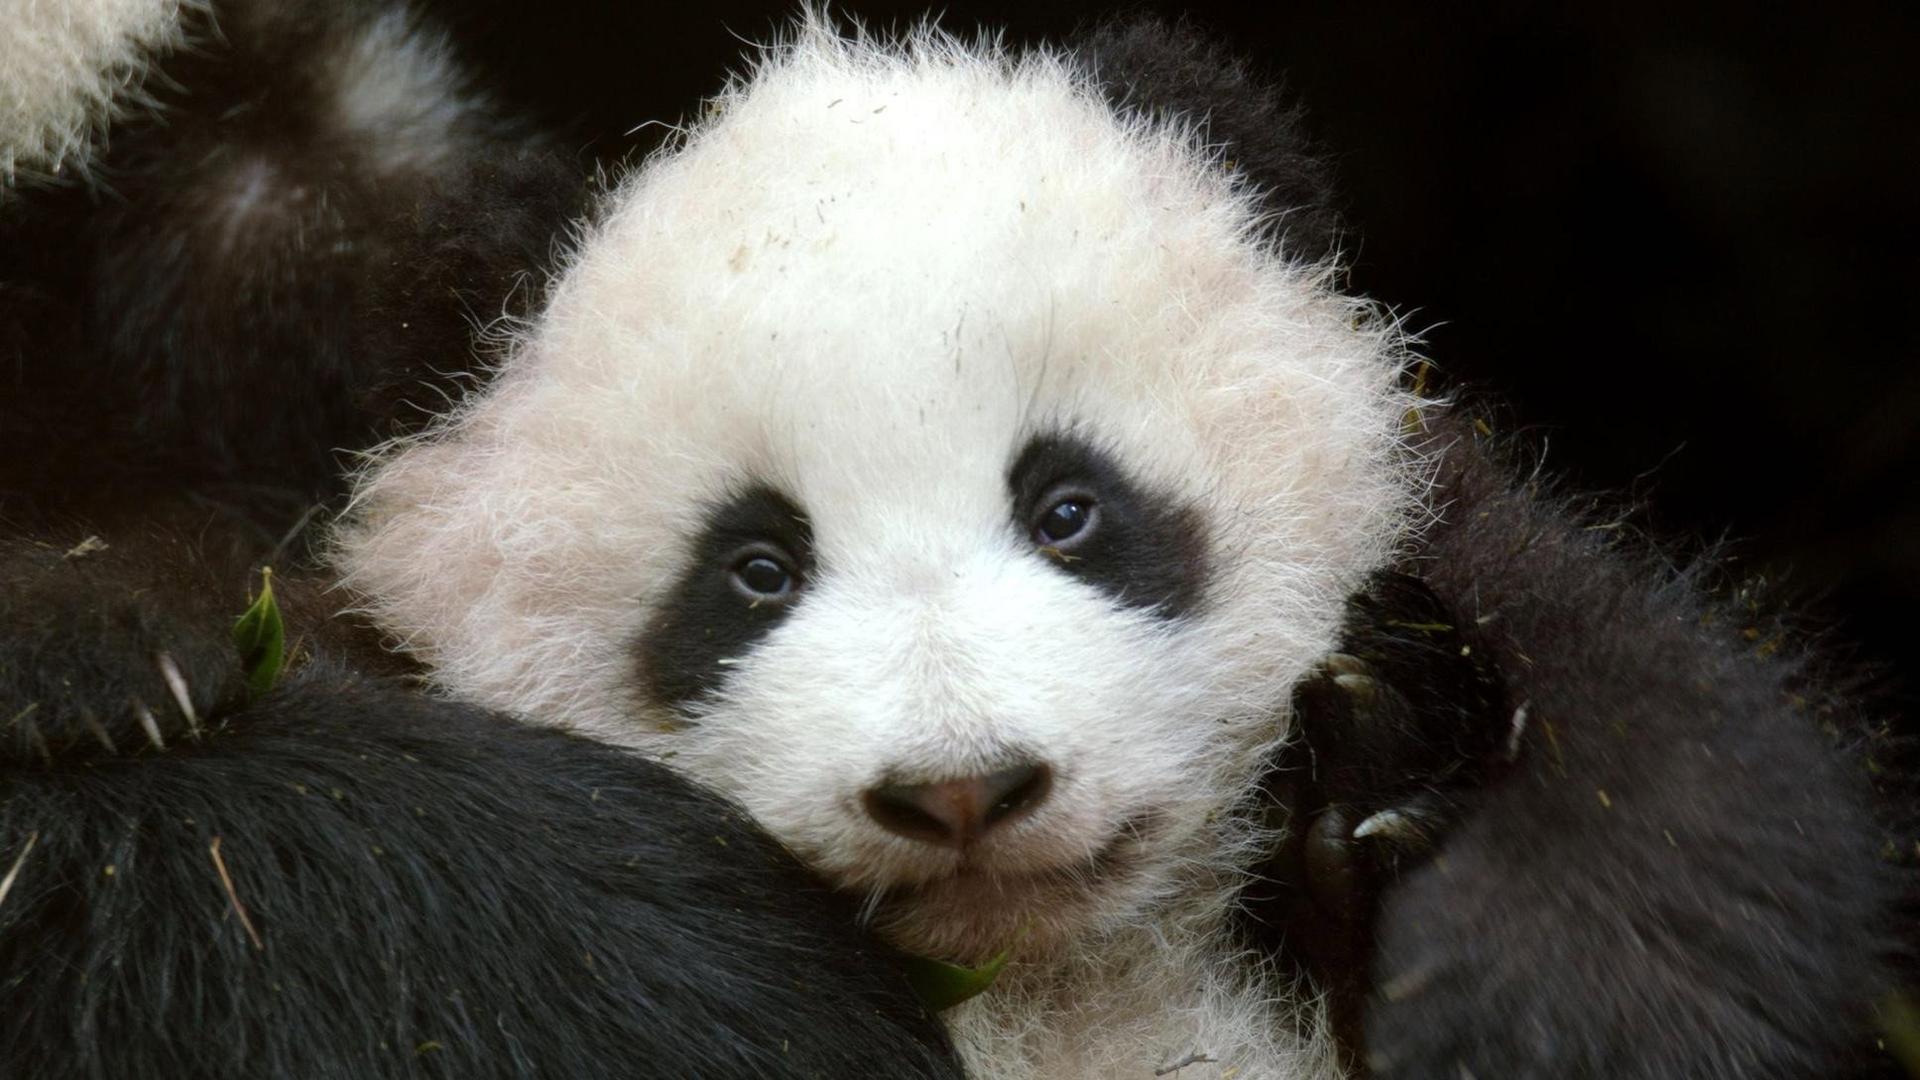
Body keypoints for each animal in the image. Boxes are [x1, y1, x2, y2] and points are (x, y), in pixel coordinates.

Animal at [328, 13, 1908, 1080]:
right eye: (754, 571)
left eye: (1070, 511)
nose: (962, 790)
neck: (1060, 975)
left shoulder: (1461, 534)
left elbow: (1677, 746)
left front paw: (1507, 952)